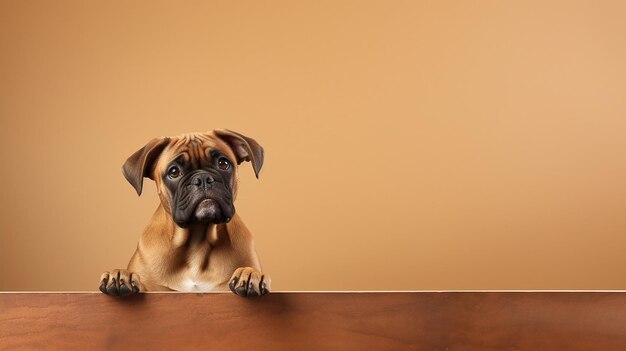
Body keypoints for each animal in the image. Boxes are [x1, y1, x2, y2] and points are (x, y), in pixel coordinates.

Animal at [98, 131, 268, 298]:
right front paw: (121, 276)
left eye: (223, 163)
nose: (203, 178)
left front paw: (250, 274)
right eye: (174, 172)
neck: (197, 240)